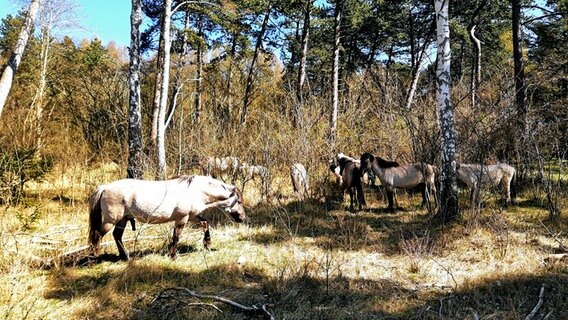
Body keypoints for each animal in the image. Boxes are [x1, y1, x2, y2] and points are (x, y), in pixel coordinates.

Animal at [88, 175, 246, 260]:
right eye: (238, 201)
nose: (243, 218)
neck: (196, 191)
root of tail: (105, 187)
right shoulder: (182, 218)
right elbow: (176, 236)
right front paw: (173, 255)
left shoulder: (192, 217)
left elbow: (205, 224)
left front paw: (207, 244)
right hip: (111, 220)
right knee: (97, 235)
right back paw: (94, 257)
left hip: (123, 219)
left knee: (117, 236)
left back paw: (125, 257)